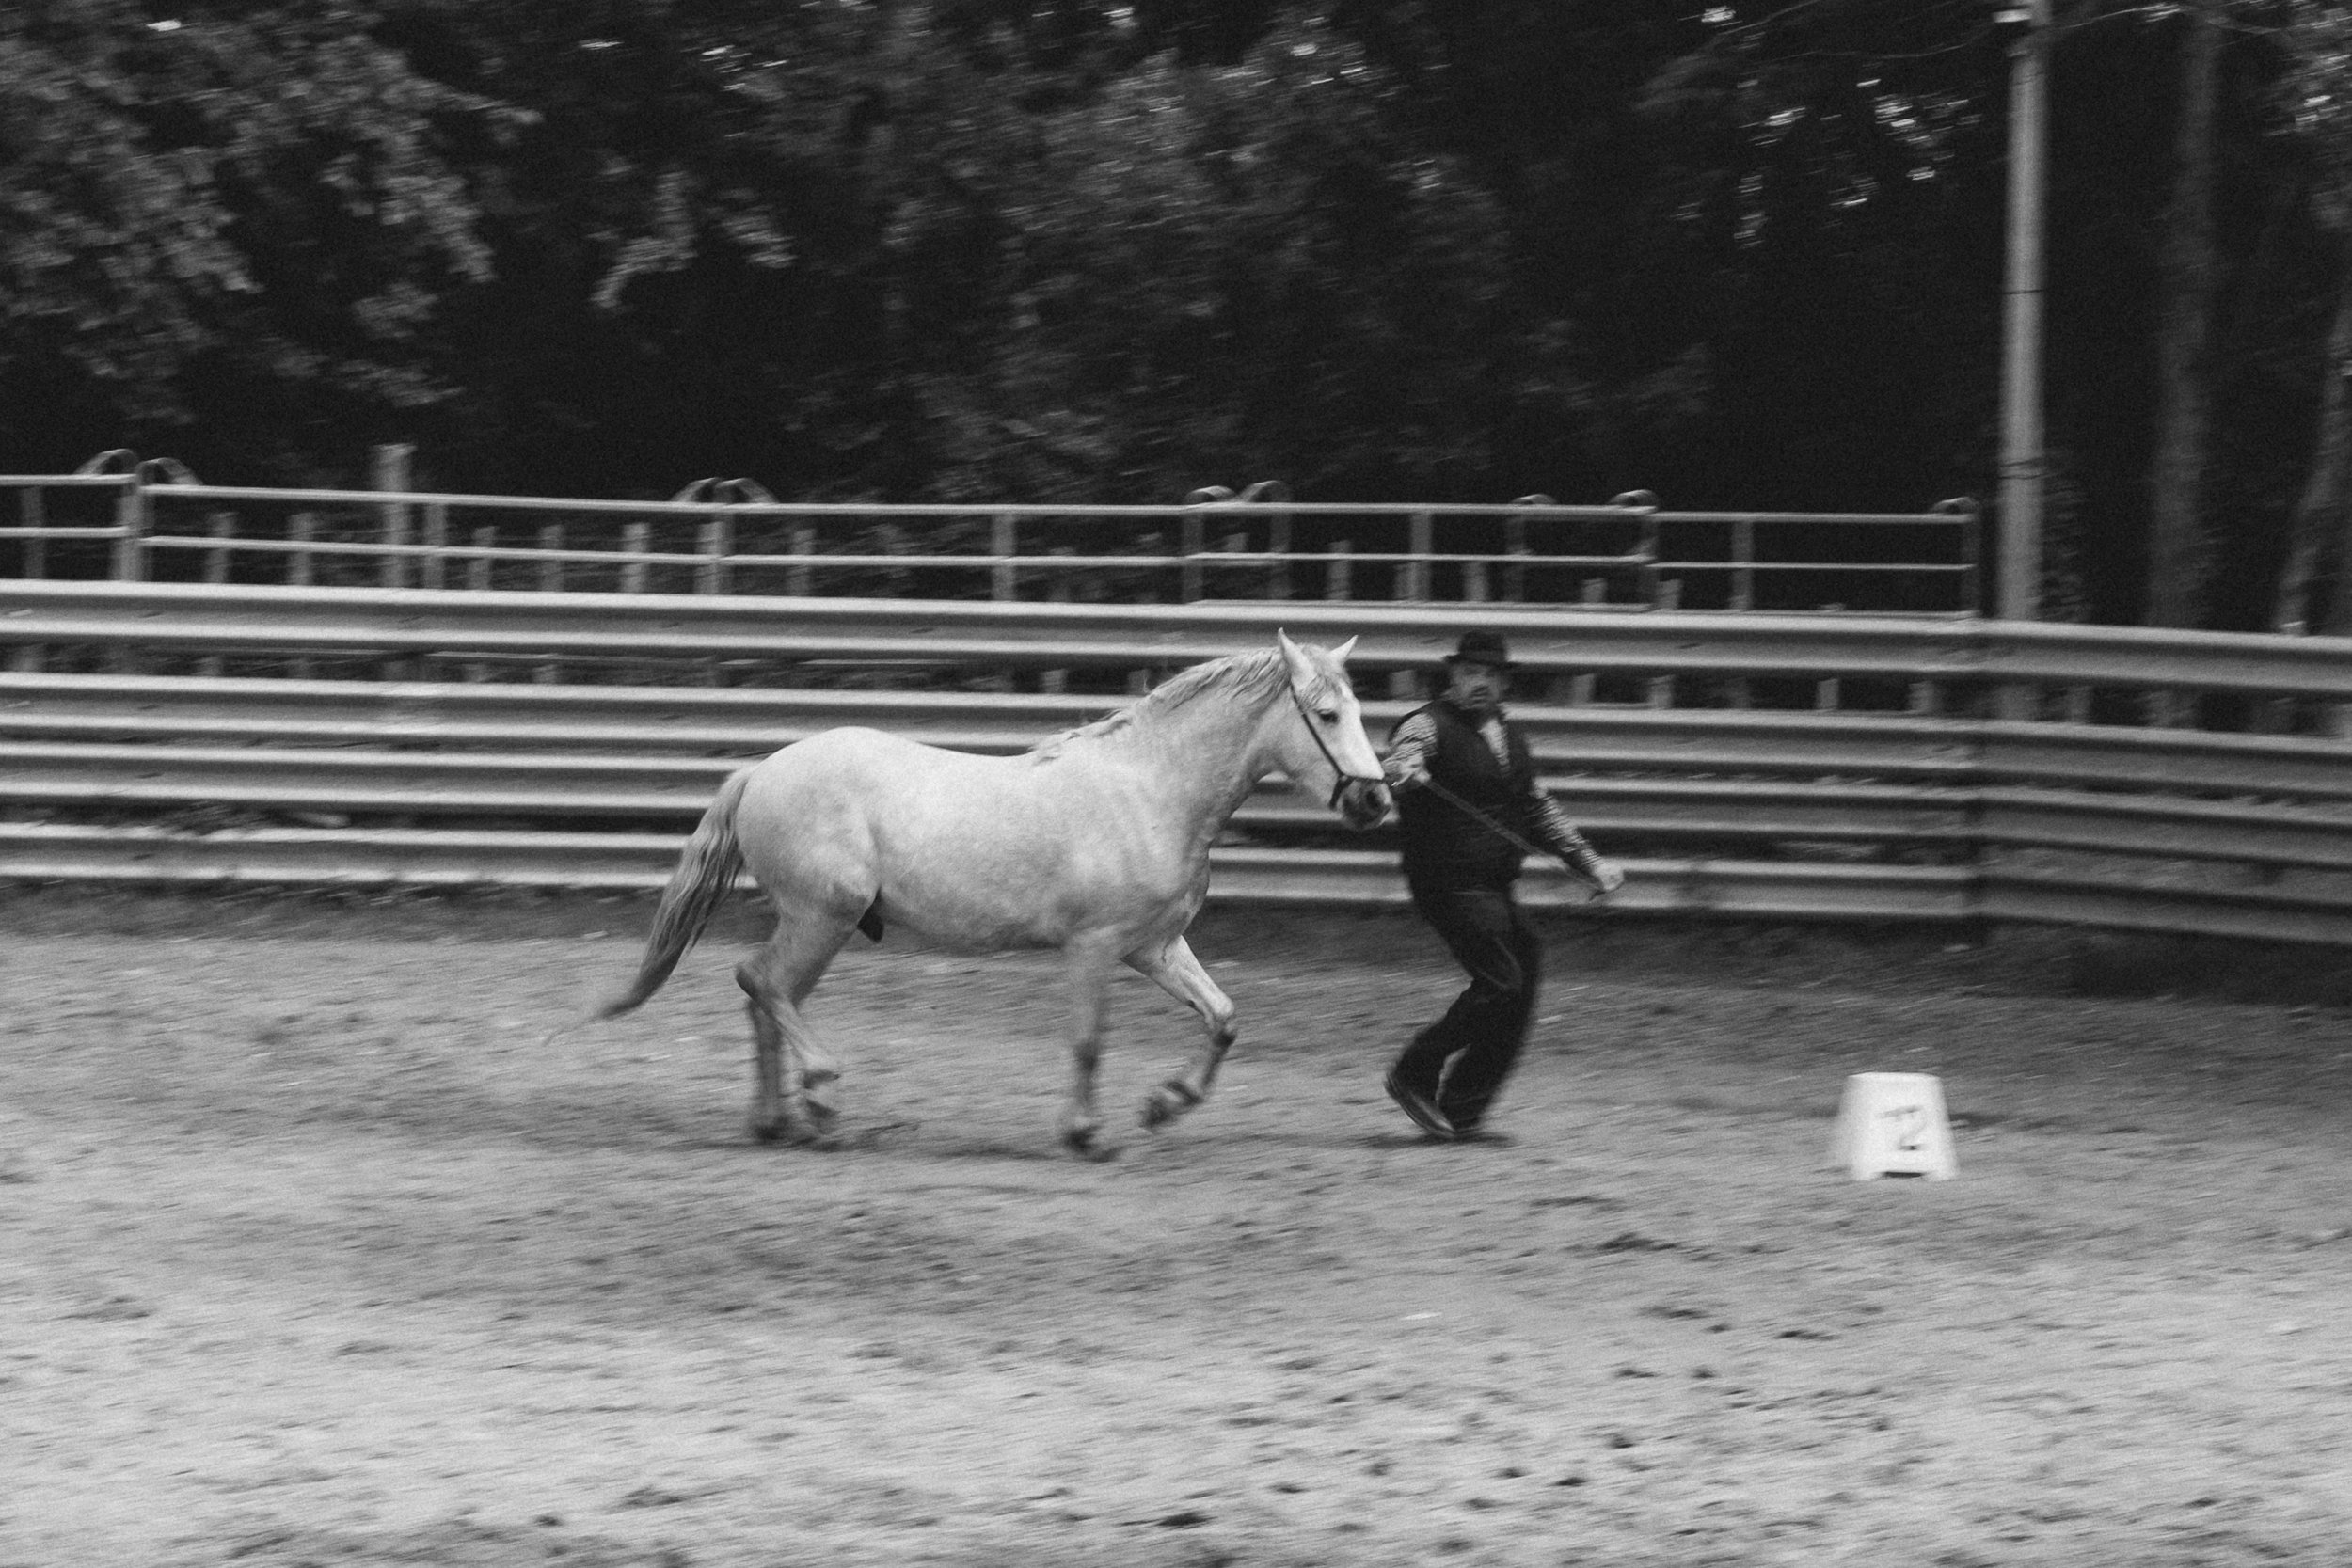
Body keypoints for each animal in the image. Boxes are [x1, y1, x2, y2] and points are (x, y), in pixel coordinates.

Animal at [586, 631, 1394, 1156]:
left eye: (1357, 708)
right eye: (1326, 714)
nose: (1375, 801)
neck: (1149, 790)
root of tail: (761, 770)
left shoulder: (1155, 946)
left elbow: (1222, 1018)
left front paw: (1165, 1105)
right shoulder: (1095, 946)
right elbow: (1089, 1039)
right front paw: (1086, 1132)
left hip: (819, 923)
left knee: (764, 992)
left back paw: (776, 1122)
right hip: (826, 915)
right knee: (761, 981)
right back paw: (819, 1095)